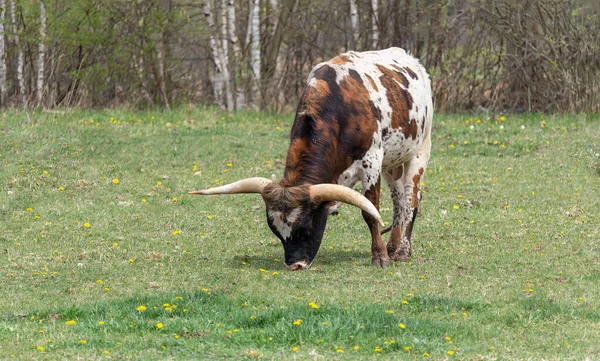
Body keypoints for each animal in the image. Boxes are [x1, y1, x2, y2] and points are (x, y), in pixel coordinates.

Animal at [192, 46, 432, 268]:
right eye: (275, 230)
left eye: (307, 226)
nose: (294, 265)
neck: (338, 108)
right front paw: (384, 252)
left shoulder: (371, 163)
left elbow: (370, 212)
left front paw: (380, 257)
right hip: (394, 161)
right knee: (399, 200)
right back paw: (393, 245)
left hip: (421, 149)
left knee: (411, 198)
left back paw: (403, 250)